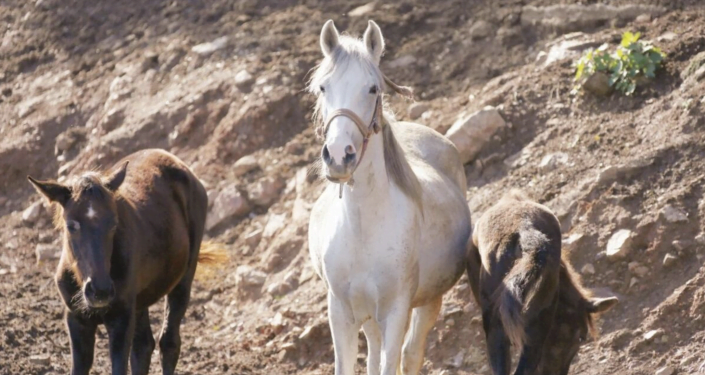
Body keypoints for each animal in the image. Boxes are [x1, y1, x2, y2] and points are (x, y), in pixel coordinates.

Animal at [28, 150, 223, 375]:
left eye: (113, 223)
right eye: (71, 225)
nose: (100, 291)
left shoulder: (121, 319)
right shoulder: (77, 319)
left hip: (182, 280)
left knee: (169, 342)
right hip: (139, 301)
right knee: (143, 346)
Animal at [308, 19, 472, 375]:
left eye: (373, 88)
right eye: (323, 88)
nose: (339, 156)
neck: (362, 228)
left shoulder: (396, 311)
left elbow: (393, 360)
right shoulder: (341, 312)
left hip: (426, 302)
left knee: (410, 354)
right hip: (368, 314)